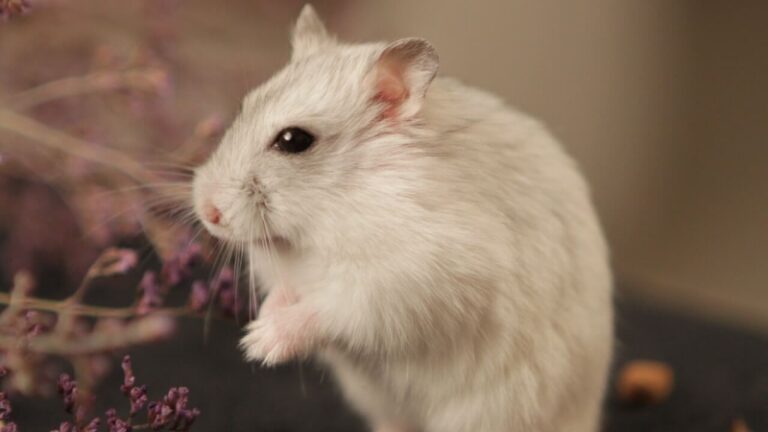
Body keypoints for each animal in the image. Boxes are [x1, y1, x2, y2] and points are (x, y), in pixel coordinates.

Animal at [192, 5, 613, 432]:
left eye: (294, 140)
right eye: (243, 107)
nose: (206, 210)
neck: (327, 212)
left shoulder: (405, 283)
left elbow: (329, 307)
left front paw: (257, 343)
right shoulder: (292, 275)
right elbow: (285, 293)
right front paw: (257, 327)